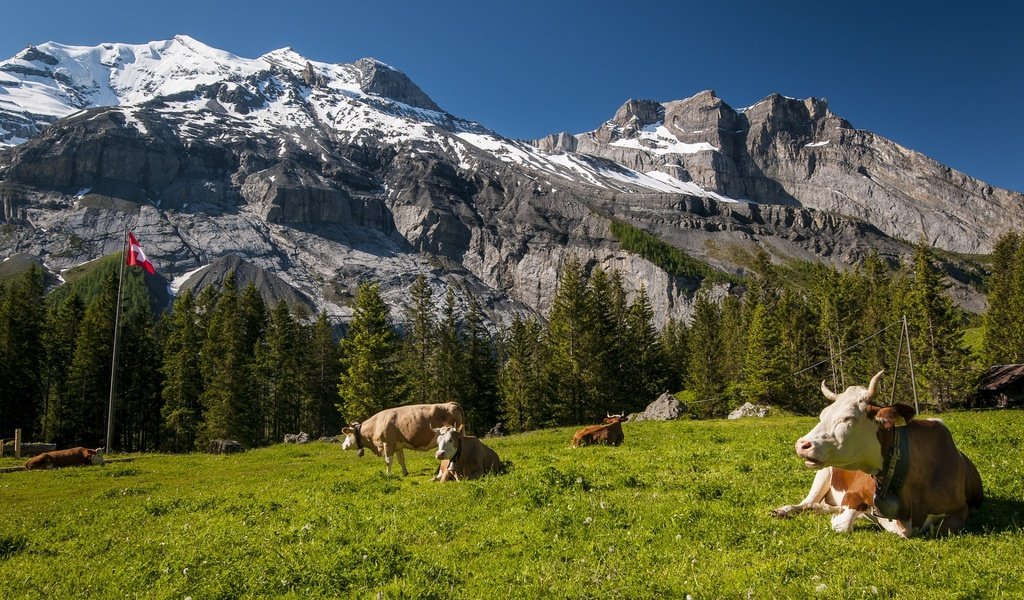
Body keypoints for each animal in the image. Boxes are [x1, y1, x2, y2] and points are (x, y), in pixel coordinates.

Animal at [774, 370, 983, 536]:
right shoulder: (855, 493)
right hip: (823, 473)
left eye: (848, 418)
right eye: (822, 415)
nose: (802, 444)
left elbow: (940, 529)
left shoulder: (961, 509)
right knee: (806, 502)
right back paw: (784, 510)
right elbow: (843, 524)